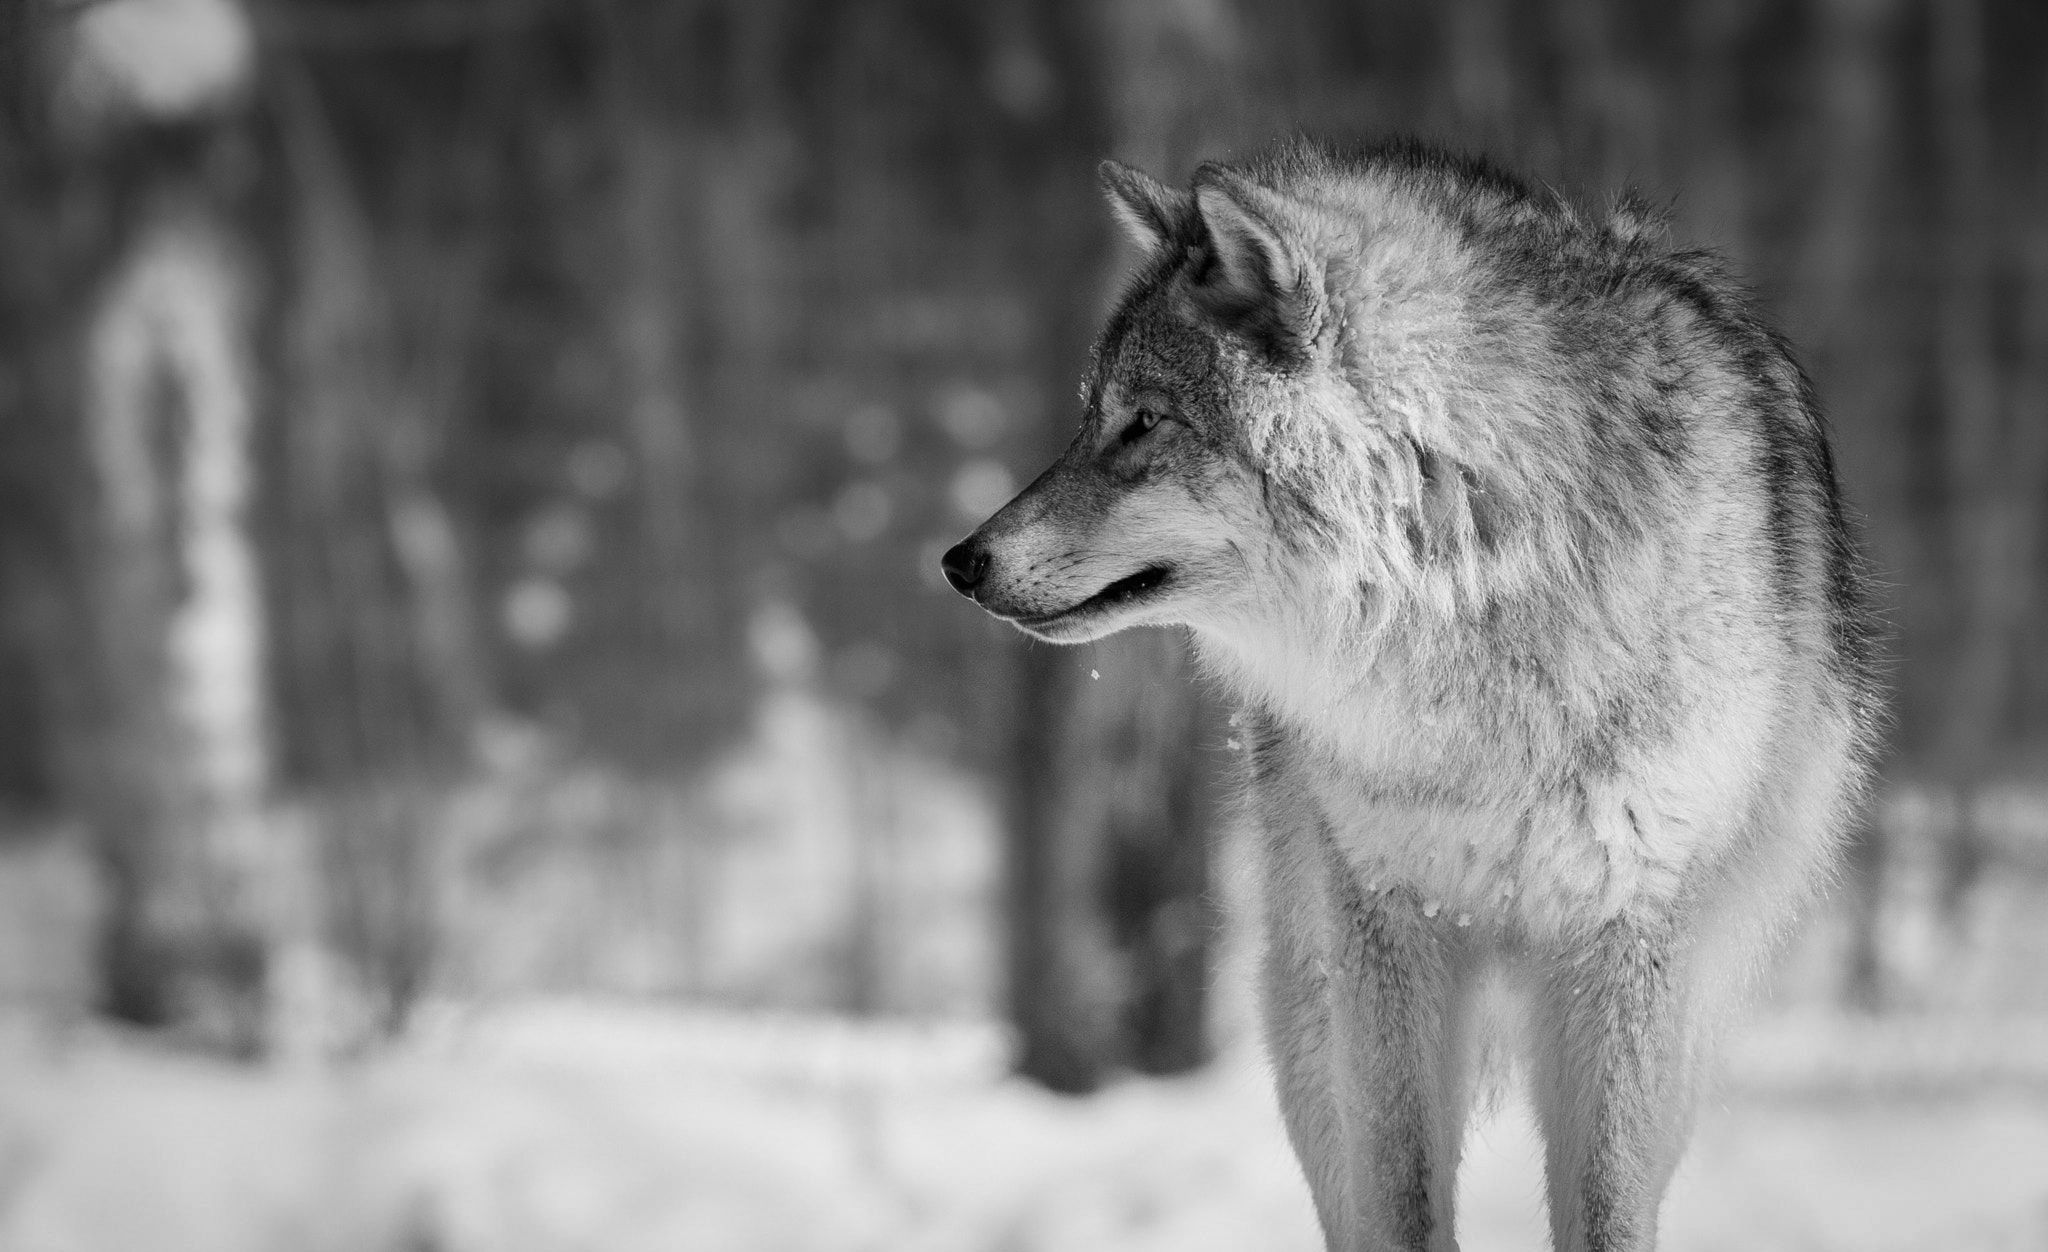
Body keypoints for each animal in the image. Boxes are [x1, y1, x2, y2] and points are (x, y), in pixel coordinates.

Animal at [941, 138, 1881, 1251]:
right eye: (1092, 416)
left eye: (1141, 423)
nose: (959, 561)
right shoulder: (1385, 928)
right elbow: (1401, 1196)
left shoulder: (1627, 941)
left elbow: (1605, 1211)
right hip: (1307, 999)